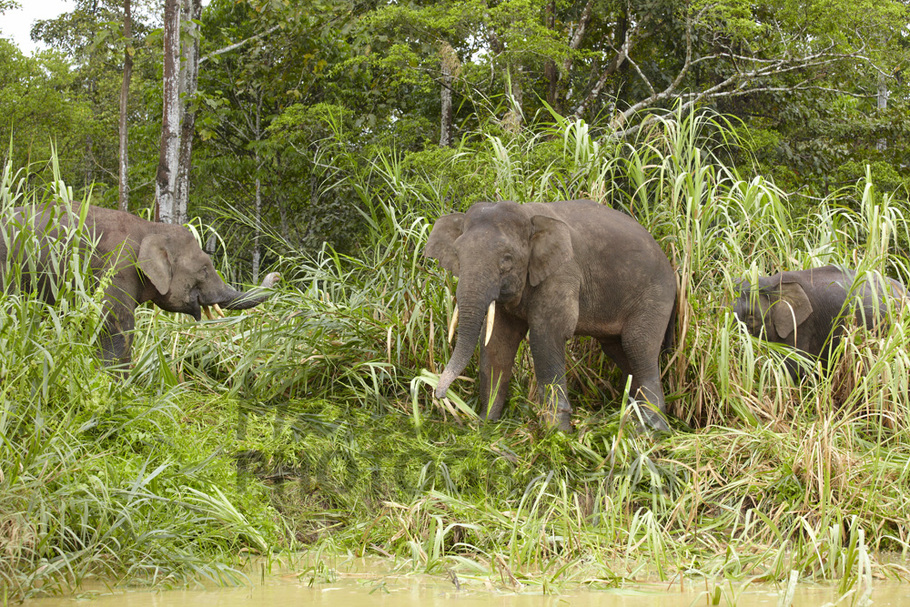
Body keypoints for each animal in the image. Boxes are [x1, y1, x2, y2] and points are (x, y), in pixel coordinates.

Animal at [424, 199, 677, 432]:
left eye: (507, 259)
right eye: (457, 254)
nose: (439, 396)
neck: (528, 215)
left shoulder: (563, 273)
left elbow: (546, 335)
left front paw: (557, 433)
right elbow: (498, 341)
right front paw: (488, 426)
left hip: (655, 295)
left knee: (638, 345)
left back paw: (651, 430)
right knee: (618, 349)